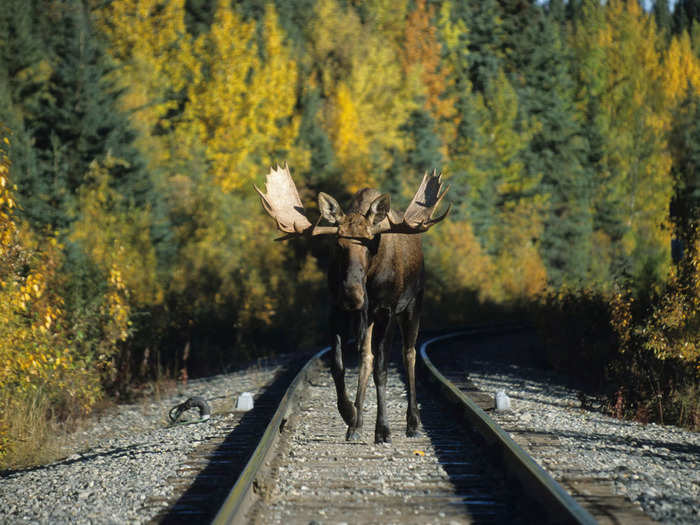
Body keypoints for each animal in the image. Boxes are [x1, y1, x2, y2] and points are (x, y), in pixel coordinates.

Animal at [256, 164, 448, 442]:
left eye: (370, 243)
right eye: (338, 244)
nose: (351, 294)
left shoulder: (386, 310)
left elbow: (382, 369)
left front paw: (383, 429)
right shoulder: (335, 310)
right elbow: (339, 365)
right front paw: (349, 413)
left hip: (413, 304)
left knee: (409, 353)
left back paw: (412, 422)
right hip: (368, 318)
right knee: (366, 356)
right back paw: (356, 425)